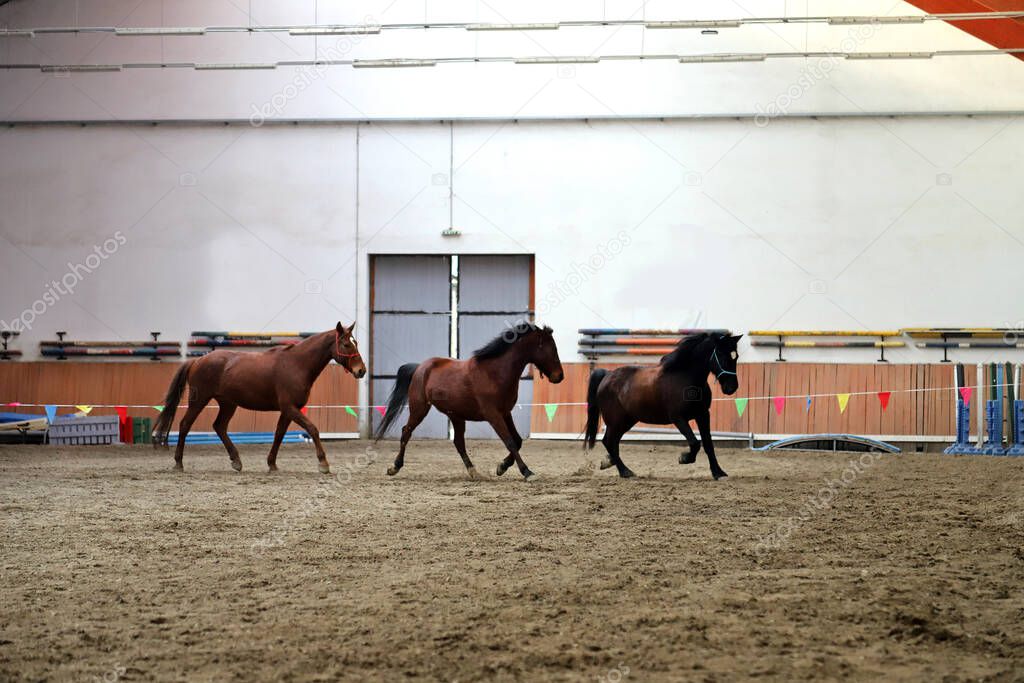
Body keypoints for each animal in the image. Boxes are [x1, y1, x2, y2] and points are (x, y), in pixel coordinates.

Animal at [149, 321, 364, 473]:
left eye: (356, 343)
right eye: (346, 344)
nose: (361, 370)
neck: (296, 364)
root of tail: (198, 360)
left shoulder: (288, 410)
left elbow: (279, 434)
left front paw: (272, 464)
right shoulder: (290, 408)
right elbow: (313, 429)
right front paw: (323, 463)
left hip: (228, 404)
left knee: (219, 426)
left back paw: (236, 460)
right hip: (199, 400)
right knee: (185, 424)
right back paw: (179, 462)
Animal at [376, 325, 565, 481]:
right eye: (552, 349)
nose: (560, 376)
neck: (495, 373)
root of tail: (420, 368)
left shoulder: (505, 413)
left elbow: (517, 441)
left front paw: (502, 467)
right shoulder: (493, 415)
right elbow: (510, 441)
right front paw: (527, 472)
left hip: (456, 416)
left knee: (458, 442)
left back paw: (473, 471)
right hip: (419, 409)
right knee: (406, 432)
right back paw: (394, 467)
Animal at [585, 331, 745, 481]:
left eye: (735, 357)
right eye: (722, 355)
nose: (732, 387)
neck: (686, 379)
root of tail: (607, 375)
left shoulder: (703, 414)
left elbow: (708, 444)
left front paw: (718, 472)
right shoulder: (678, 418)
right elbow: (695, 442)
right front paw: (684, 458)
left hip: (626, 421)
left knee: (611, 442)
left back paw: (611, 463)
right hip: (616, 421)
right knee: (609, 441)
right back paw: (625, 471)